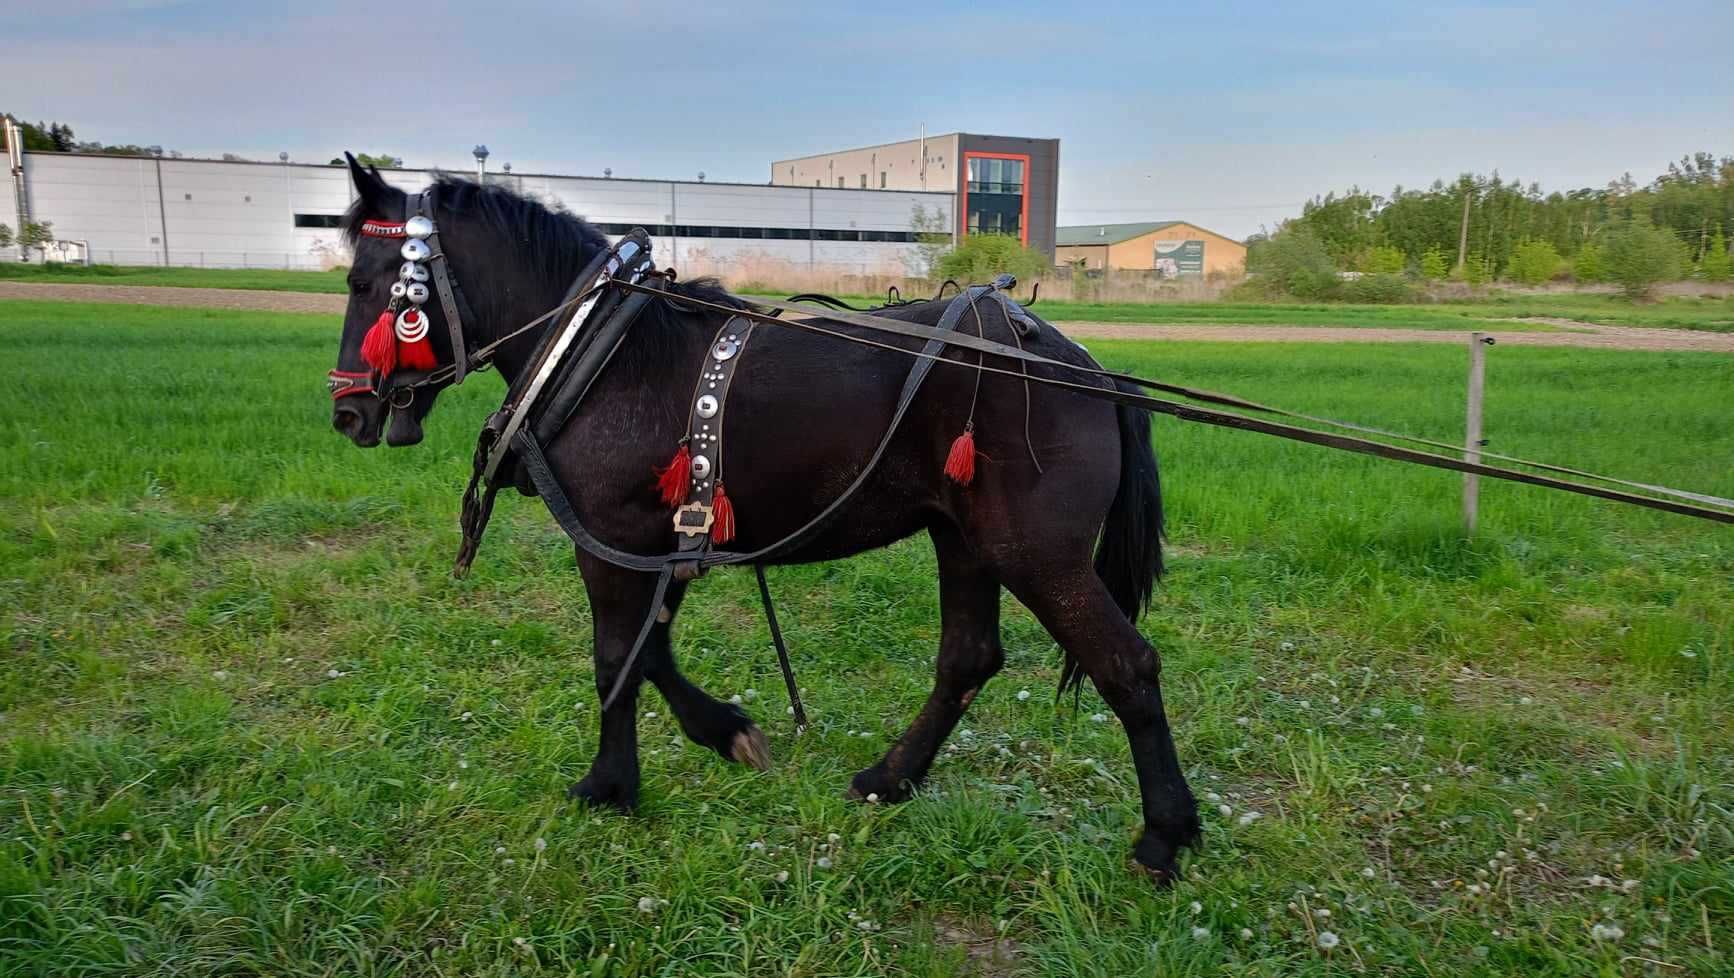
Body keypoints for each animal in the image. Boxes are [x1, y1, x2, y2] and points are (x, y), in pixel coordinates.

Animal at [325, 158, 1199, 877]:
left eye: (365, 282)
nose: (347, 414)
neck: (604, 352)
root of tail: (1087, 369)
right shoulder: (661, 540)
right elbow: (649, 652)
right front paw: (724, 732)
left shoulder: (610, 541)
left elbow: (615, 659)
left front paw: (610, 784)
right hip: (966, 539)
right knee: (969, 659)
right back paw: (891, 778)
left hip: (1035, 552)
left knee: (1127, 666)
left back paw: (1166, 834)